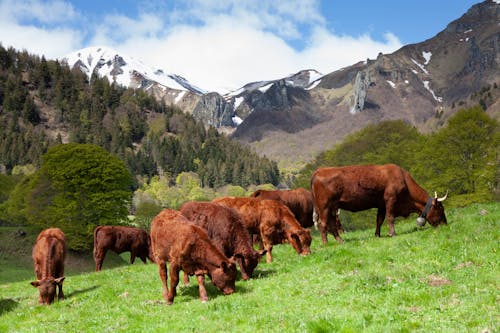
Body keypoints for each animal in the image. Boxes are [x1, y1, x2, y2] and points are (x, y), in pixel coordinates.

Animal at [310, 163, 448, 243]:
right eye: (441, 209)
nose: (445, 224)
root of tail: (319, 171)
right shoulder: (390, 199)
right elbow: (390, 217)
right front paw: (393, 233)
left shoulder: (381, 204)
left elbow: (379, 220)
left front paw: (377, 235)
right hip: (324, 206)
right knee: (323, 224)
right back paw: (325, 243)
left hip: (332, 207)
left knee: (332, 224)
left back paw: (340, 241)